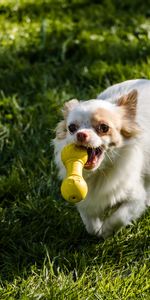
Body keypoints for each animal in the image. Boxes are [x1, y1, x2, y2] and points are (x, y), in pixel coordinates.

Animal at [53, 79, 150, 239]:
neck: (100, 172)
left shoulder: (135, 199)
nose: (81, 134)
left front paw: (106, 231)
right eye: (72, 128)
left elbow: (119, 217)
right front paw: (97, 229)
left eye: (104, 127)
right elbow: (90, 224)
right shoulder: (87, 200)